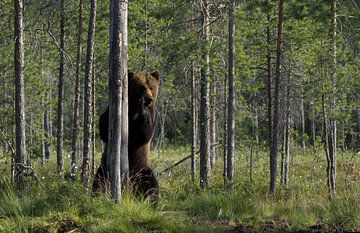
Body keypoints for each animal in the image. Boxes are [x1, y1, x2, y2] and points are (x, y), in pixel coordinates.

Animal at [93, 68, 160, 202]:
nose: (149, 98)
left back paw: (150, 199)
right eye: (142, 87)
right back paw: (98, 196)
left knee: (151, 184)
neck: (133, 110)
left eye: (151, 86)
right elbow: (104, 129)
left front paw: (143, 109)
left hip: (142, 168)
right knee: (99, 182)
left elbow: (143, 135)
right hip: (105, 168)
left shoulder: (152, 117)